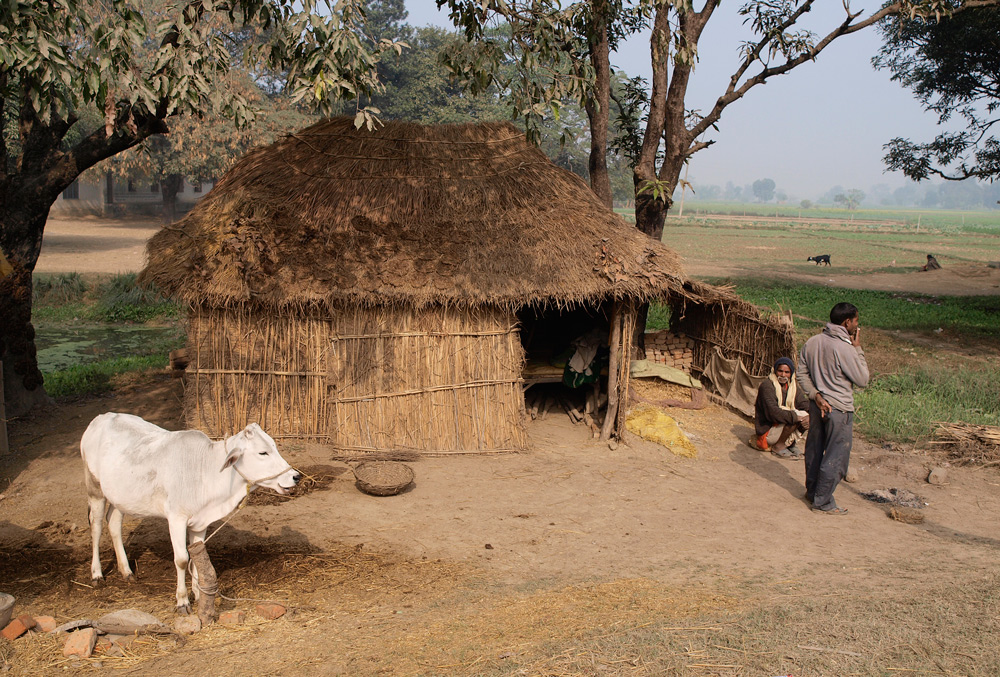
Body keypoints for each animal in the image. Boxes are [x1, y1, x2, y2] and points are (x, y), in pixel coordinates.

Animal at [81, 412, 300, 612]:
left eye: (274, 447)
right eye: (263, 453)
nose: (295, 477)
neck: (205, 470)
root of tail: (102, 418)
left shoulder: (200, 522)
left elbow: (197, 557)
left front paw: (198, 593)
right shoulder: (176, 519)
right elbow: (181, 560)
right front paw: (182, 600)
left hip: (120, 497)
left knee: (114, 523)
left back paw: (126, 571)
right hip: (95, 490)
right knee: (96, 526)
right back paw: (97, 574)